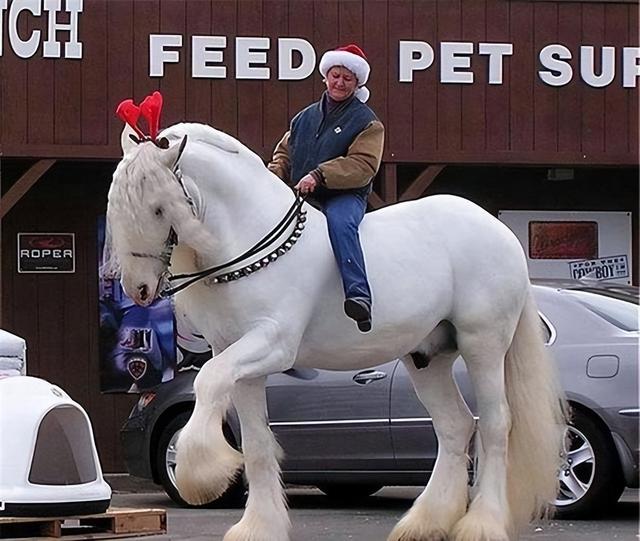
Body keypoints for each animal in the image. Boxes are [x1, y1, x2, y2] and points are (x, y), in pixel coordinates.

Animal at [107, 122, 568, 540]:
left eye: (159, 208)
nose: (138, 289)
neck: (254, 243)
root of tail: (500, 232)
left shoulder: (271, 345)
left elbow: (206, 381)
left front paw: (199, 471)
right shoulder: (239, 359)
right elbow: (255, 445)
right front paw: (258, 526)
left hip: (483, 344)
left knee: (494, 425)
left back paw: (482, 524)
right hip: (427, 357)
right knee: (455, 426)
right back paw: (425, 522)